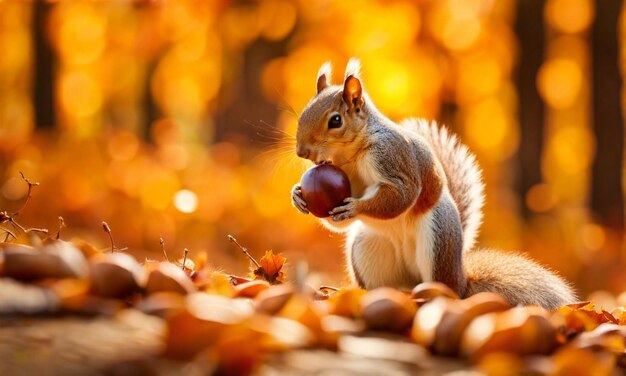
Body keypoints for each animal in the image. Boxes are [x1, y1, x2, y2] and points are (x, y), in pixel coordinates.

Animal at [292, 58, 576, 310]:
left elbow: (401, 195)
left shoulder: (394, 159)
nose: (301, 152)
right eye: (303, 113)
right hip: (367, 247)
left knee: (445, 287)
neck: (352, 154)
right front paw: (298, 196)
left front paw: (356, 208)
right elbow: (337, 220)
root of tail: (461, 277)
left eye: (336, 120)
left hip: (437, 241)